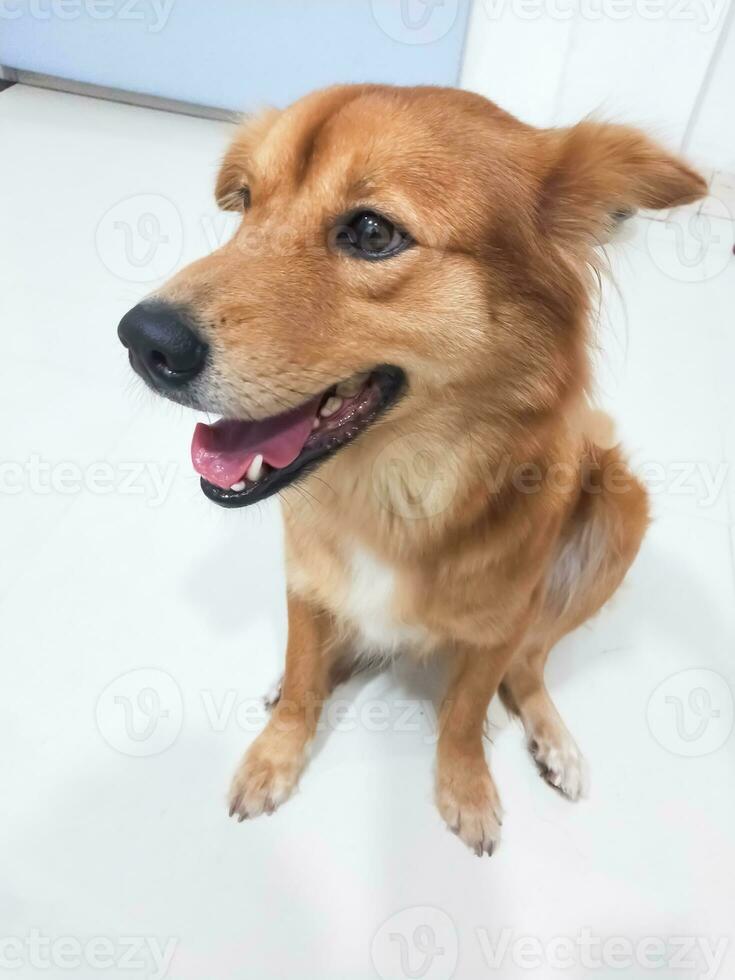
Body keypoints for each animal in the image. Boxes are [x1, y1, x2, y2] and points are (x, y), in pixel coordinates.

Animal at [118, 84, 704, 852]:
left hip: (619, 511)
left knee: (530, 664)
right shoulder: (305, 578)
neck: (396, 492)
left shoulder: (501, 621)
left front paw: (466, 787)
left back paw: (551, 736)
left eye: (372, 234)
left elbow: (465, 713)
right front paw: (276, 752)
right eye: (245, 203)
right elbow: (303, 683)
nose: (141, 340)